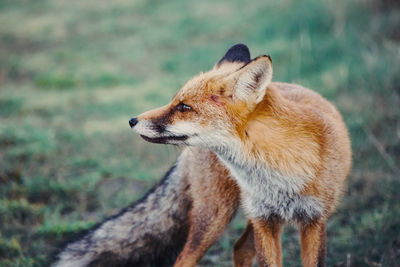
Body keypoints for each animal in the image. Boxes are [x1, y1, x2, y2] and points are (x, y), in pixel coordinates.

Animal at [130, 43, 352, 266]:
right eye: (174, 102)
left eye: (184, 107)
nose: (132, 120)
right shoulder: (263, 219)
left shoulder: (314, 219)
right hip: (215, 216)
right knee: (188, 257)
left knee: (240, 247)